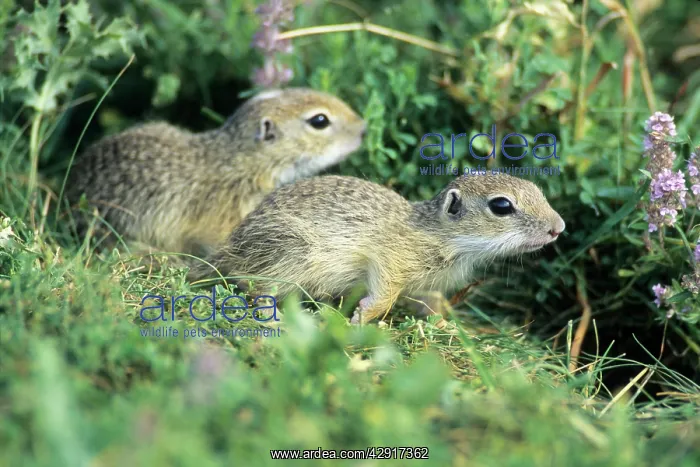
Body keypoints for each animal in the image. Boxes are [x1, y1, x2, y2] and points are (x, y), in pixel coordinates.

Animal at [189, 173, 565, 324]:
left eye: (537, 190)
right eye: (501, 206)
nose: (558, 228)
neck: (443, 235)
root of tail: (228, 248)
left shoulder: (425, 285)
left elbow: (430, 303)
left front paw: (446, 323)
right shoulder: (389, 259)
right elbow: (385, 294)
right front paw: (363, 315)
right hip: (291, 251)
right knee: (253, 288)